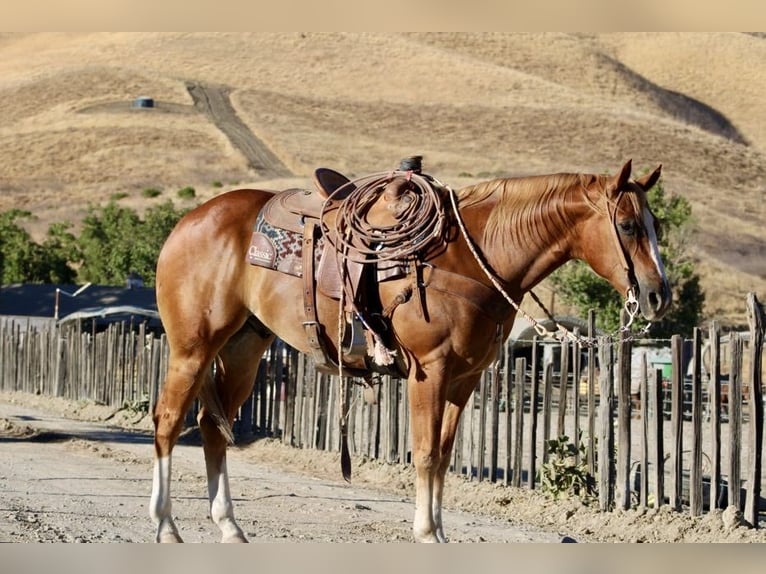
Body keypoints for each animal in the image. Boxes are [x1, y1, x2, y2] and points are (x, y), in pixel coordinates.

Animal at [148, 159, 672, 544]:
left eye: (656, 226)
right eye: (628, 225)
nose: (657, 297)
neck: (472, 257)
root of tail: (188, 222)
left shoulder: (464, 379)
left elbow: (442, 455)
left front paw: (438, 532)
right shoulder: (430, 371)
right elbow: (422, 452)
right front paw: (425, 534)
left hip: (244, 349)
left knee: (212, 429)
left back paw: (230, 527)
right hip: (194, 347)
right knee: (168, 421)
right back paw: (167, 526)